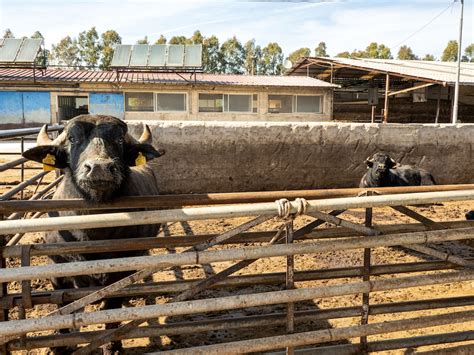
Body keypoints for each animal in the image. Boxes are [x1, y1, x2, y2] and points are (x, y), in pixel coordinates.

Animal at [23, 115, 166, 354]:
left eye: (119, 138)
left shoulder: (122, 271)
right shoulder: (57, 273)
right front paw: (61, 346)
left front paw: (111, 345)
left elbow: (112, 307)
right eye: (72, 138)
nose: (100, 168)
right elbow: (62, 308)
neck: (92, 235)